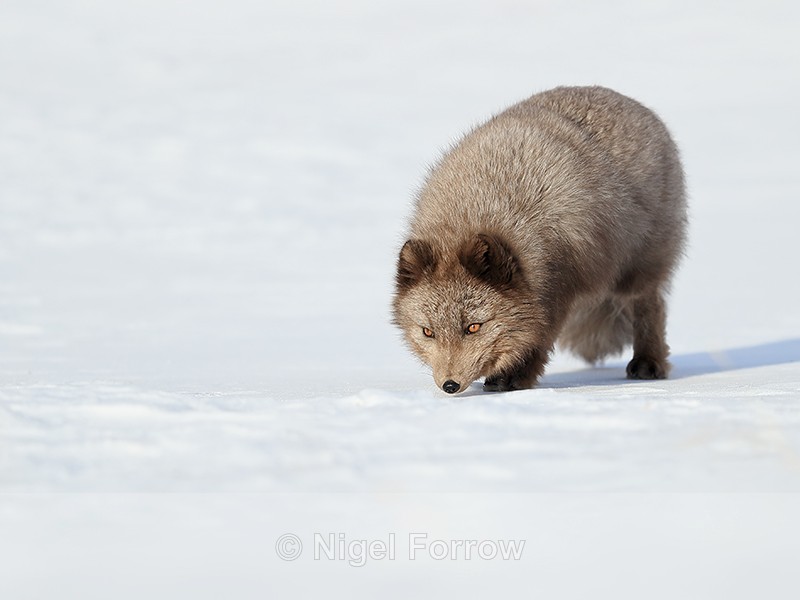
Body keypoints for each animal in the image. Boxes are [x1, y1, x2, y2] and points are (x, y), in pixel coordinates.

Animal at [392, 86, 687, 394]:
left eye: (473, 327)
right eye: (428, 331)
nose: (449, 385)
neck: (478, 208)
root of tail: (626, 100)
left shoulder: (556, 290)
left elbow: (538, 338)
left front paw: (513, 378)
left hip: (637, 270)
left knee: (651, 306)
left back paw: (648, 362)